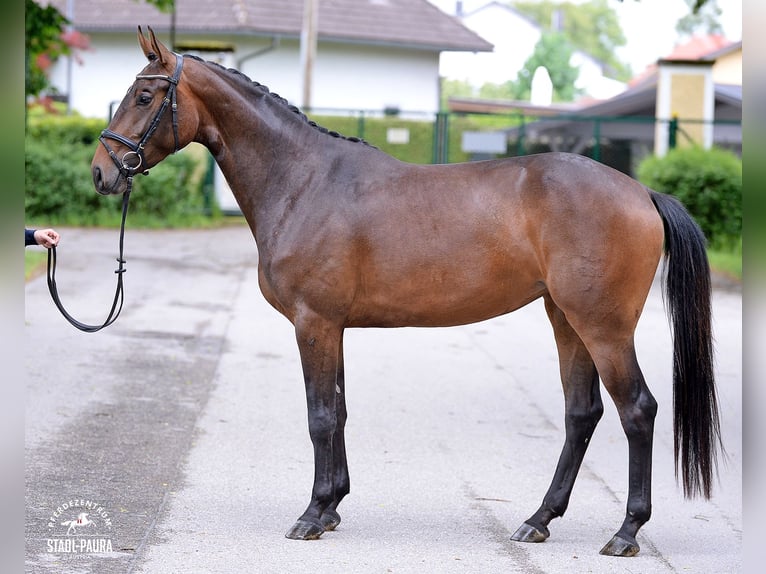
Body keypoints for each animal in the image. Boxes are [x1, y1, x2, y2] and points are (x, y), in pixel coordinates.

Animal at [91, 28, 728, 560]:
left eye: (144, 97)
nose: (102, 172)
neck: (304, 182)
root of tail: (641, 192)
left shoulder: (313, 323)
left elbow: (320, 415)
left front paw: (311, 514)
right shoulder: (332, 327)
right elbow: (340, 411)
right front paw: (332, 506)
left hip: (603, 326)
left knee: (636, 410)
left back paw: (626, 531)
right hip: (565, 319)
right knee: (582, 413)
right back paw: (538, 519)